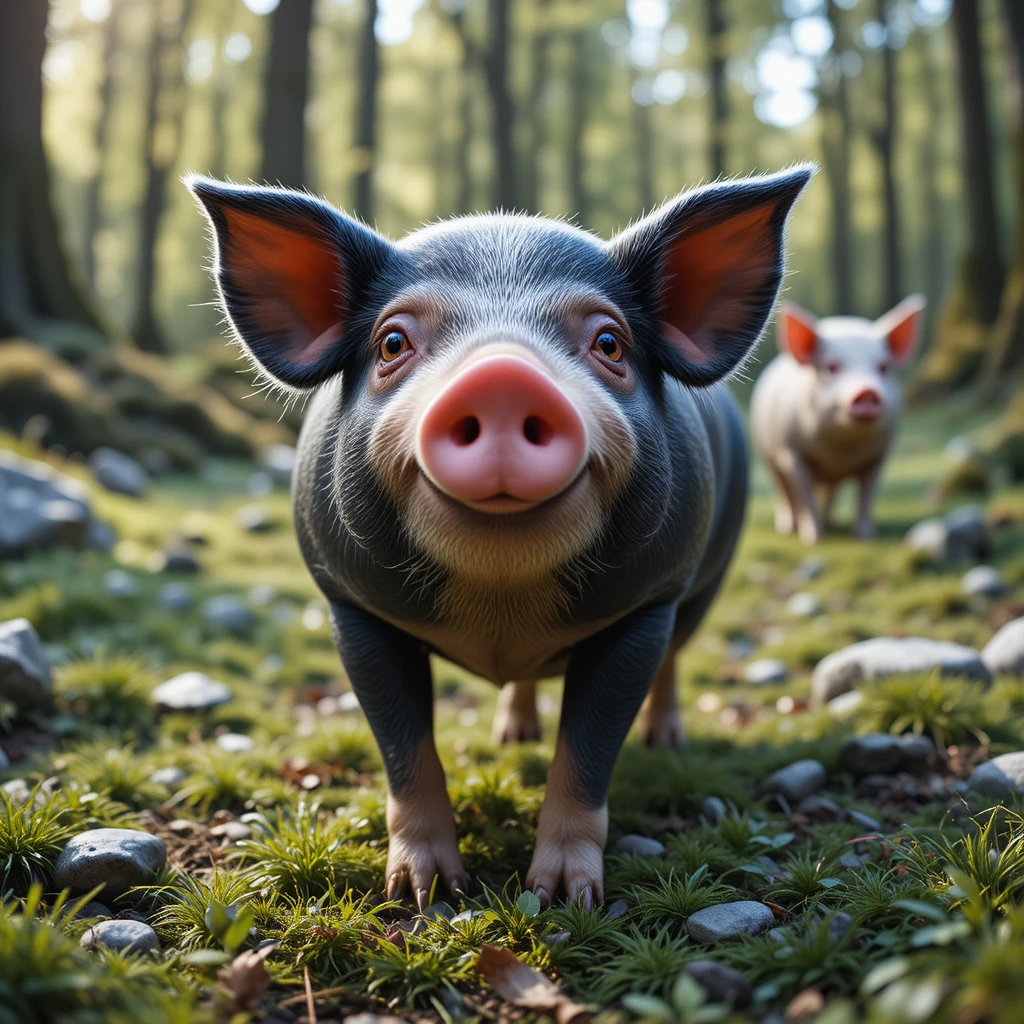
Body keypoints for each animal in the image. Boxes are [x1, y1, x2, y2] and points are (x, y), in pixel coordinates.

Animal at [187, 165, 811, 910]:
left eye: (610, 344)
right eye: (392, 343)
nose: (503, 374)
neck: (501, 608)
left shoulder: (644, 605)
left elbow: (588, 752)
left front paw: (563, 897)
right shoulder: (351, 606)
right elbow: (404, 749)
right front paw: (424, 893)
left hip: (701, 581)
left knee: (672, 661)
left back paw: (665, 744)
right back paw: (514, 736)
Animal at [750, 296, 925, 544]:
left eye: (883, 367)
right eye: (831, 367)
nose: (867, 392)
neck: (840, 449)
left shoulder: (879, 456)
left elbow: (867, 495)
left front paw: (865, 536)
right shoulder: (792, 453)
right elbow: (804, 496)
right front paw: (813, 538)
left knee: (830, 492)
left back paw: (830, 523)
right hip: (766, 452)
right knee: (783, 491)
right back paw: (788, 527)